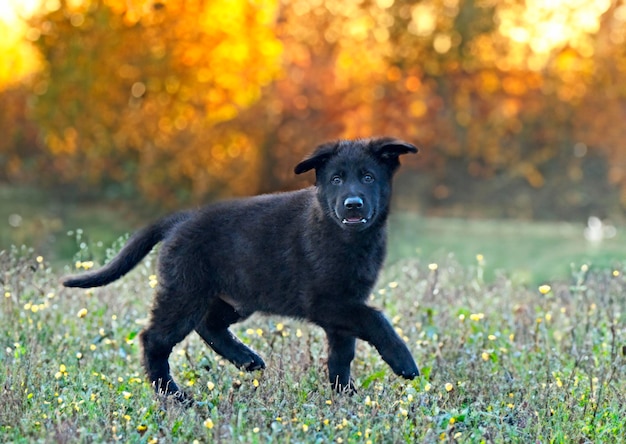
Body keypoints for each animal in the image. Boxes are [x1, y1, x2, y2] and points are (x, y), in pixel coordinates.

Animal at [62, 137, 420, 400]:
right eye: (336, 179)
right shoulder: (326, 303)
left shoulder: (342, 310)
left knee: (208, 325)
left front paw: (345, 397)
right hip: (185, 293)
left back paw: (246, 359)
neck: (347, 237)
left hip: (236, 298)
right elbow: (375, 319)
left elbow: (341, 357)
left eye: (368, 177)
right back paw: (175, 395)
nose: (352, 205)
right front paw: (403, 363)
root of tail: (179, 220)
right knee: (154, 339)